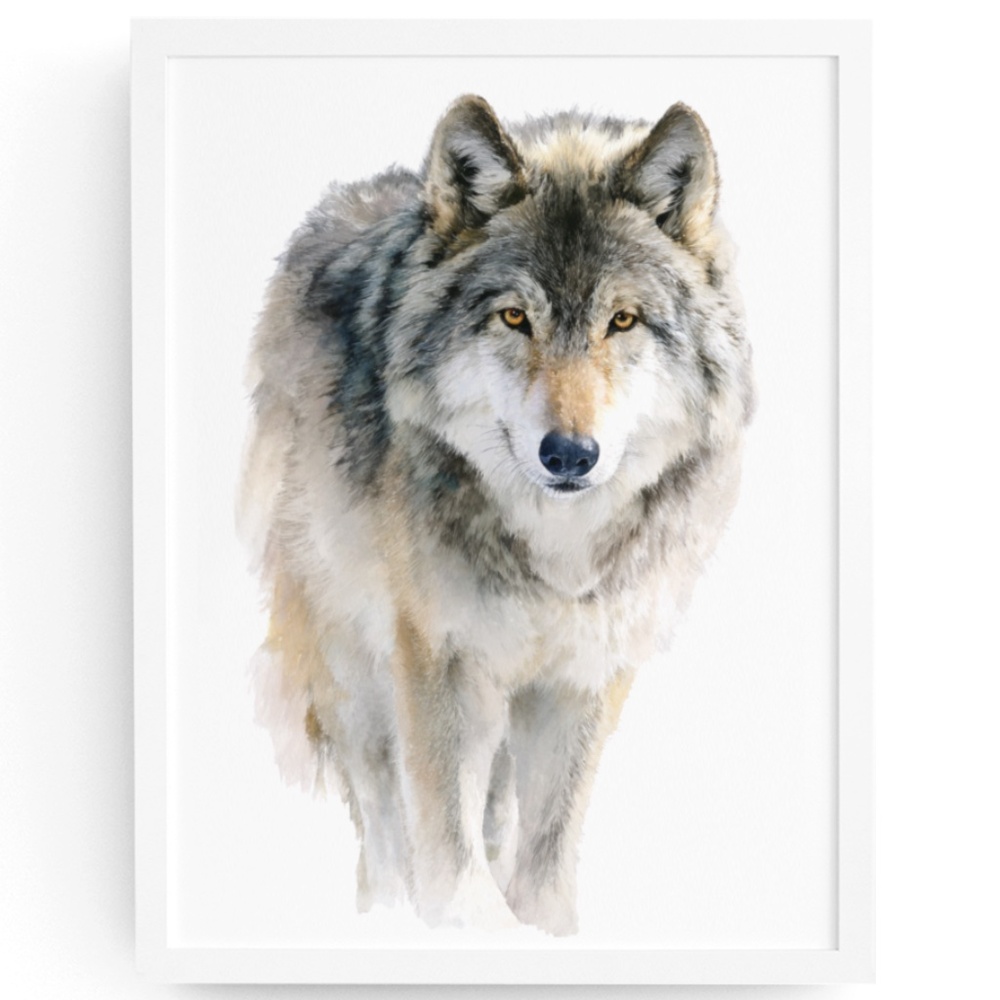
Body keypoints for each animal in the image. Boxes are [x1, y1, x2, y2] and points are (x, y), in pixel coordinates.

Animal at [239, 95, 754, 935]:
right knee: (381, 808)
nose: (570, 454)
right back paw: (382, 911)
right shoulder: (438, 655)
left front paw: (541, 931)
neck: (556, 550)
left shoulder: (584, 673)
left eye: (623, 321)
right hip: (346, 656)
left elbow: (546, 845)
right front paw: (461, 925)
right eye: (515, 318)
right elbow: (443, 832)